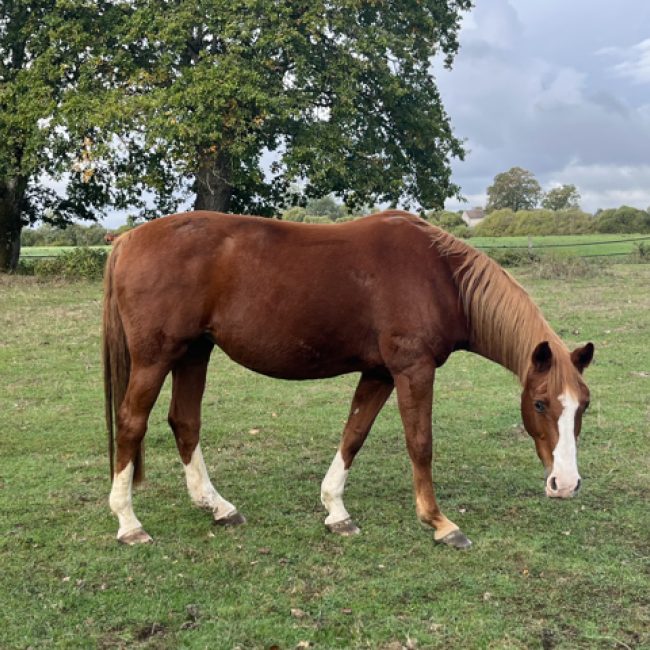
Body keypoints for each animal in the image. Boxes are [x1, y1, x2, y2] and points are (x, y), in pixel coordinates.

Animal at [103, 210, 594, 549]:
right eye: (539, 403)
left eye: (584, 405)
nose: (566, 484)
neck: (440, 276)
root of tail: (126, 240)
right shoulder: (412, 369)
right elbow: (420, 443)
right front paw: (439, 522)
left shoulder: (379, 373)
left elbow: (353, 434)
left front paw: (336, 511)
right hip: (156, 357)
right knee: (131, 423)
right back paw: (128, 523)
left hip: (194, 353)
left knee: (185, 423)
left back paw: (217, 507)